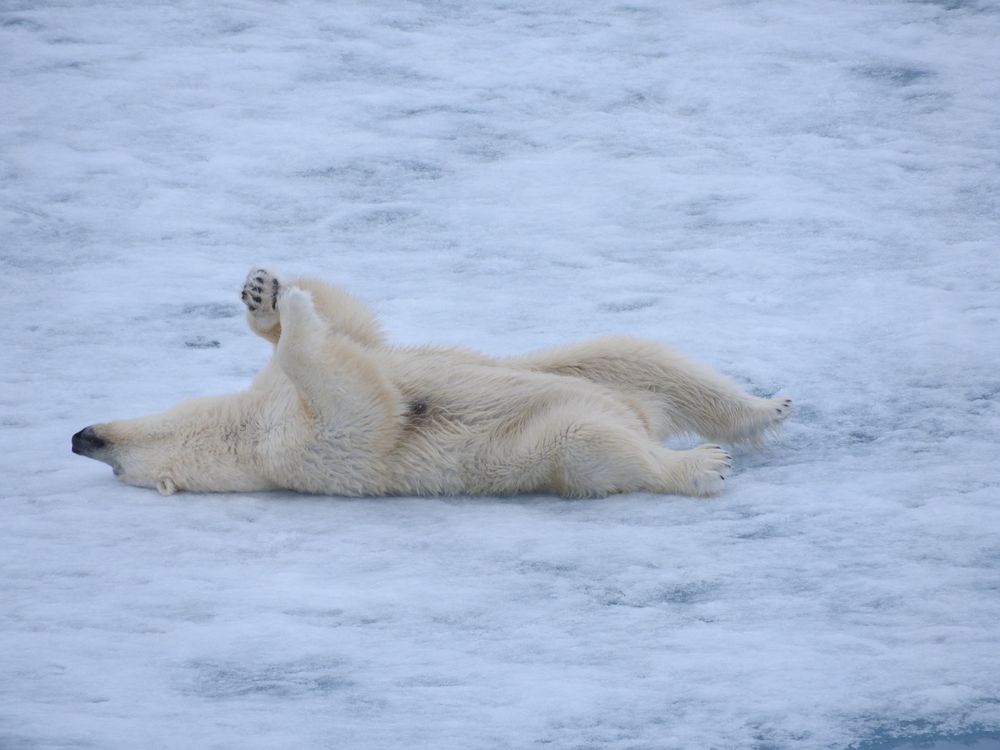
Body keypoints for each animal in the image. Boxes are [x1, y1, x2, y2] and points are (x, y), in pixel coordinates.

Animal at [71, 268, 791, 498]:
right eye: (125, 472)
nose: (80, 437)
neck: (240, 432)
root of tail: (639, 416)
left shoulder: (275, 400)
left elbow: (355, 332)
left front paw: (266, 295)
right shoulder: (301, 453)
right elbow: (361, 406)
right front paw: (293, 313)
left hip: (579, 365)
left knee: (638, 356)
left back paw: (769, 407)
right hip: (548, 442)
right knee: (597, 445)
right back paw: (702, 463)